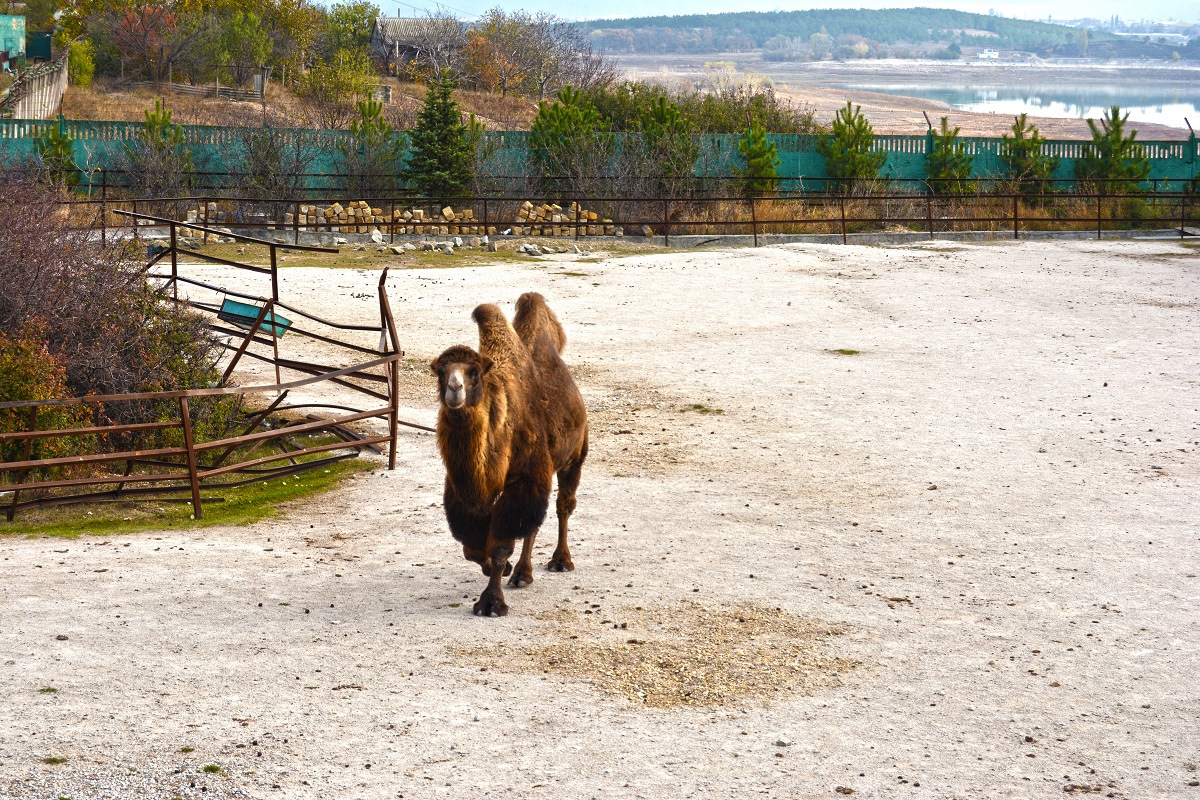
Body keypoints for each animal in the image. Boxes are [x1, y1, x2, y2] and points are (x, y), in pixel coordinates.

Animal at [434, 293, 588, 618]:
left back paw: (560, 561)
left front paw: (491, 603)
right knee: (534, 523)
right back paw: (521, 574)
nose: (454, 388)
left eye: (474, 372)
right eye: (440, 372)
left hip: (575, 455)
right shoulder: (461, 491)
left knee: (564, 505)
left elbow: (500, 545)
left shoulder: (524, 476)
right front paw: (498, 571)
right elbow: (472, 547)